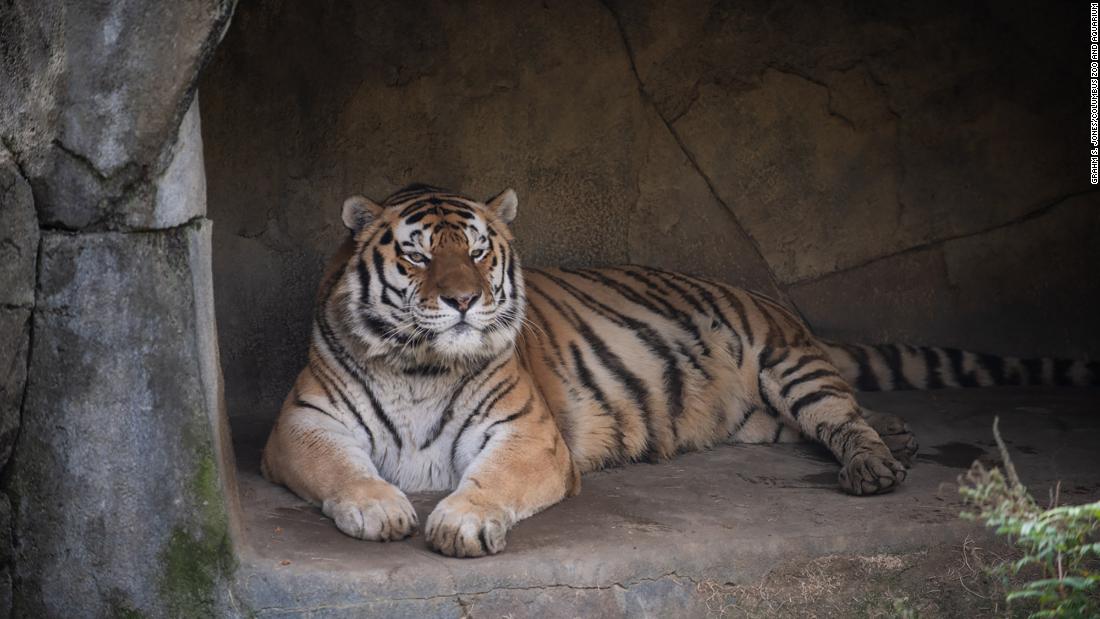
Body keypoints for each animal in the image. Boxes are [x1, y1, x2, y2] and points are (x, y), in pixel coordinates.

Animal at [259, 182, 1100, 556]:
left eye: (477, 249)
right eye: (415, 254)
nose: (464, 300)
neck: (422, 364)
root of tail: (769, 298)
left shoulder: (528, 433)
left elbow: (489, 481)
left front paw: (460, 520)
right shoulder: (303, 425)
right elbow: (343, 470)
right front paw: (380, 507)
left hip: (789, 365)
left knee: (842, 417)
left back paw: (876, 465)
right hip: (761, 415)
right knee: (838, 417)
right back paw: (899, 437)